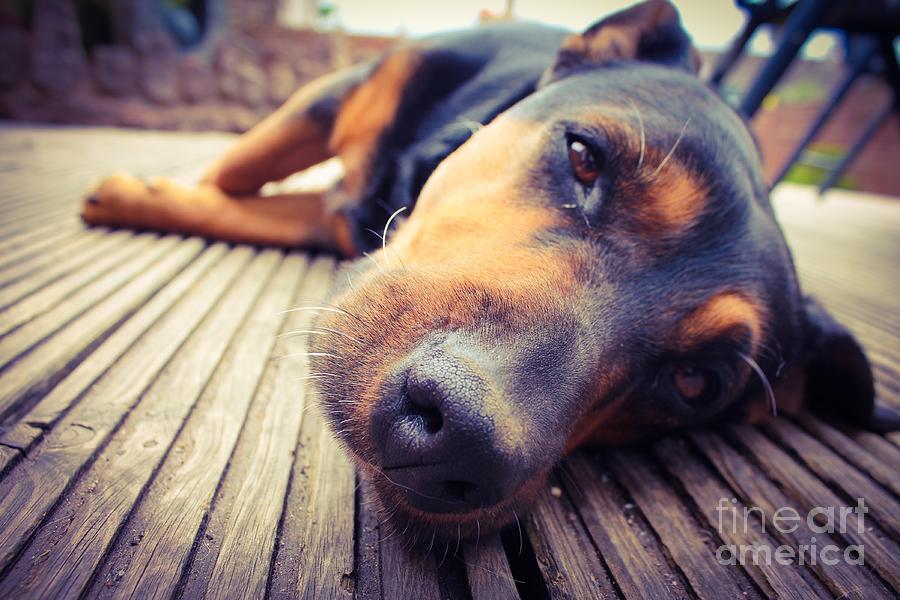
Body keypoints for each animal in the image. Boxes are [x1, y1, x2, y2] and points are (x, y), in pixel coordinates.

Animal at [81, 0, 896, 544]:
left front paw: (139, 196)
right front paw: (134, 193)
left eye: (697, 382)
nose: (459, 445)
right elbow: (236, 172)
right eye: (582, 155)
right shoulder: (340, 93)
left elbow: (238, 202)